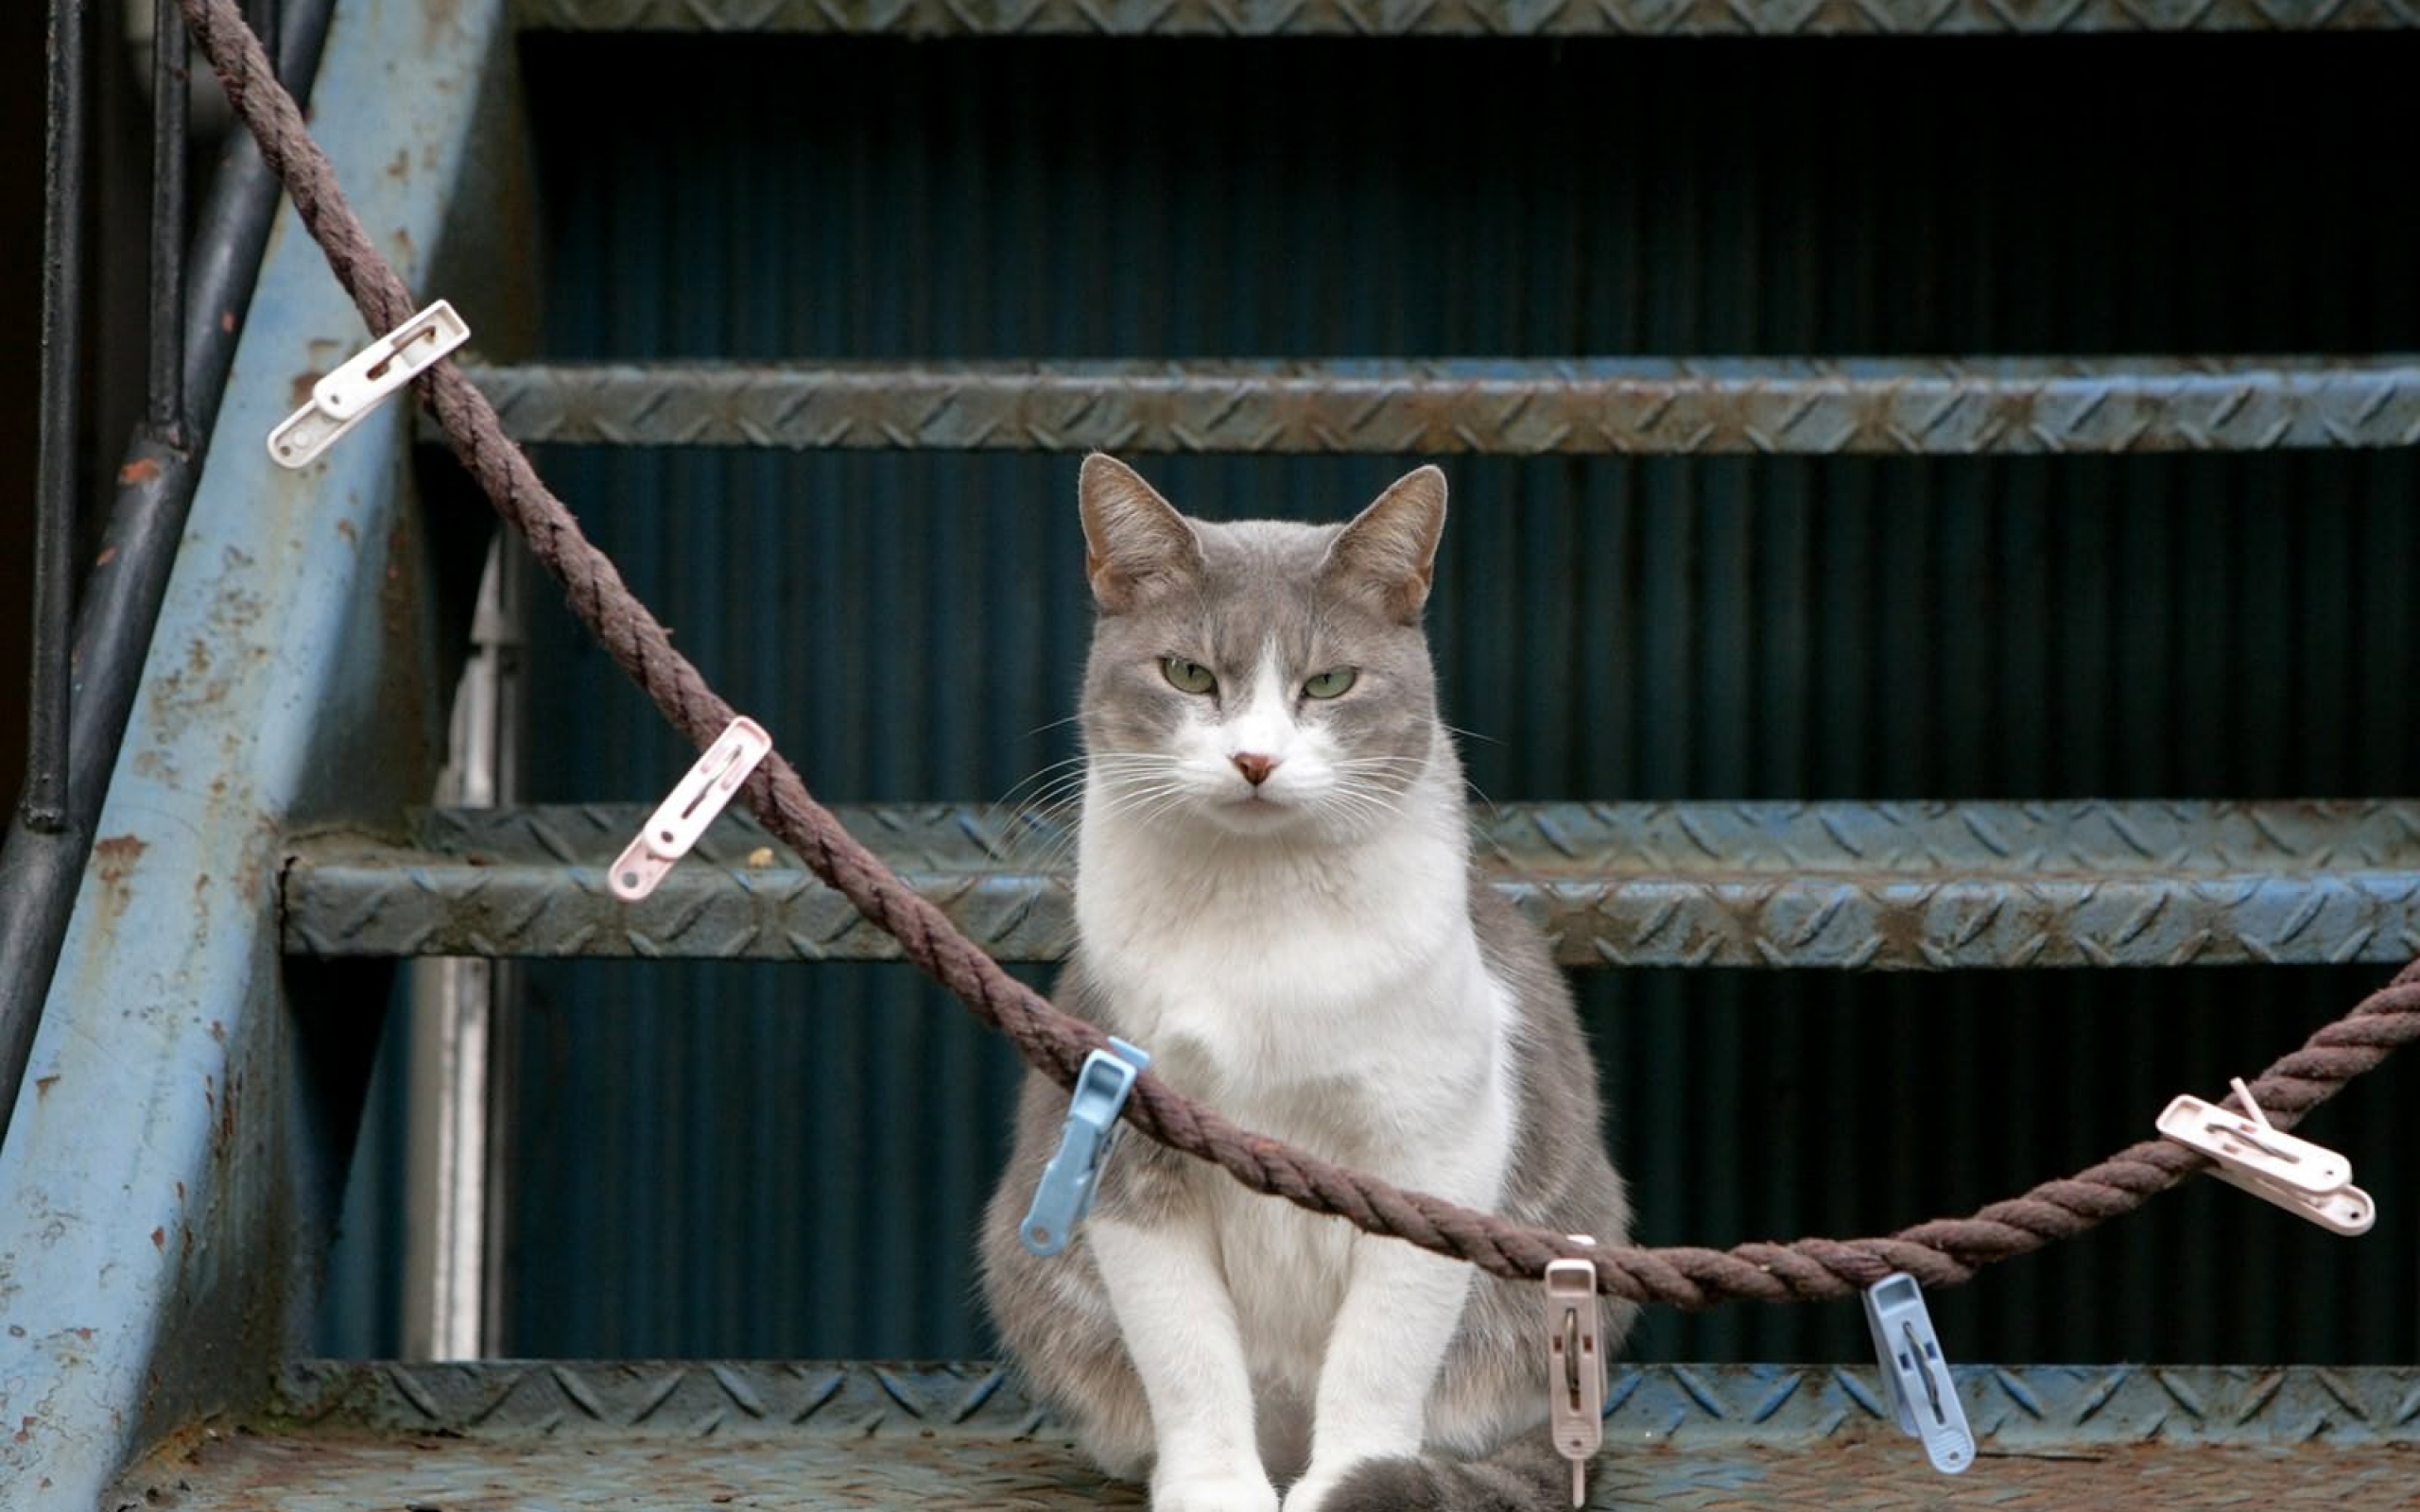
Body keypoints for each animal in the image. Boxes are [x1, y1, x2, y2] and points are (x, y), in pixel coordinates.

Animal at [973, 456, 1635, 1509]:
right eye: (1188, 673)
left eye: (1328, 682)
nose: (1254, 758)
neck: (1262, 912)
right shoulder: (1129, 1153)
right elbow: (1187, 1354)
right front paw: (1213, 1488)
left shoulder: (1434, 1154)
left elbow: (1379, 1352)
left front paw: (1350, 1480)